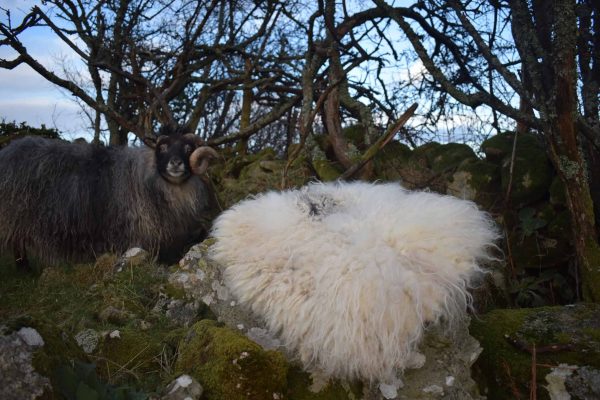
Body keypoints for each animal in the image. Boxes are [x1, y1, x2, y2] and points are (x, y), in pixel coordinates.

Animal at [0, 133, 219, 268]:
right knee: (17, 244)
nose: (175, 163)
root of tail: (9, 150)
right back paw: (24, 269)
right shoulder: (132, 232)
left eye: (188, 148)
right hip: (15, 217)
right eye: (162, 147)